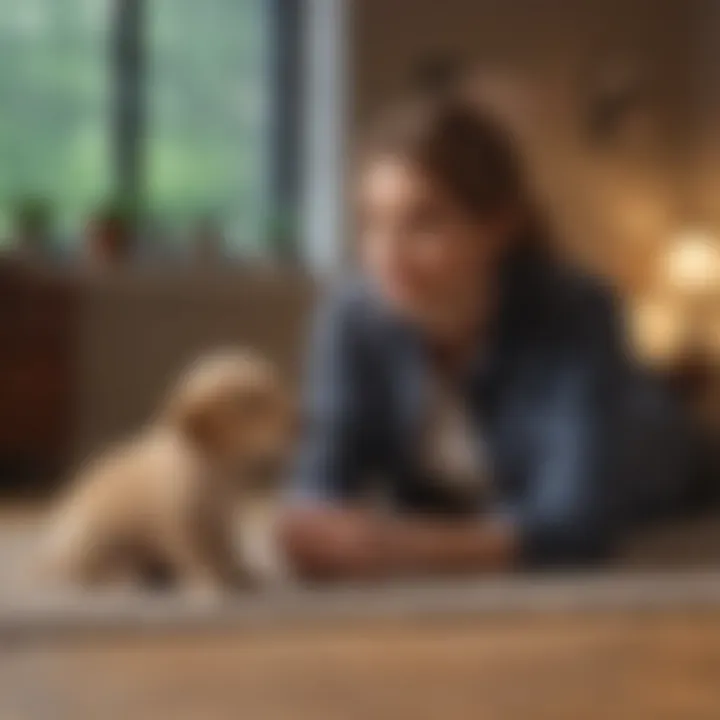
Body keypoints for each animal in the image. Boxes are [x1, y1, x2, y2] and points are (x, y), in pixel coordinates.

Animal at [42, 350, 294, 596]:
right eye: (250, 407)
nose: (298, 422)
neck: (213, 466)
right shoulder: (181, 521)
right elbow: (197, 555)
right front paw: (211, 585)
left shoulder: (221, 517)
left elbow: (227, 550)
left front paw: (240, 575)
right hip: (98, 537)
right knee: (92, 573)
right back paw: (127, 579)